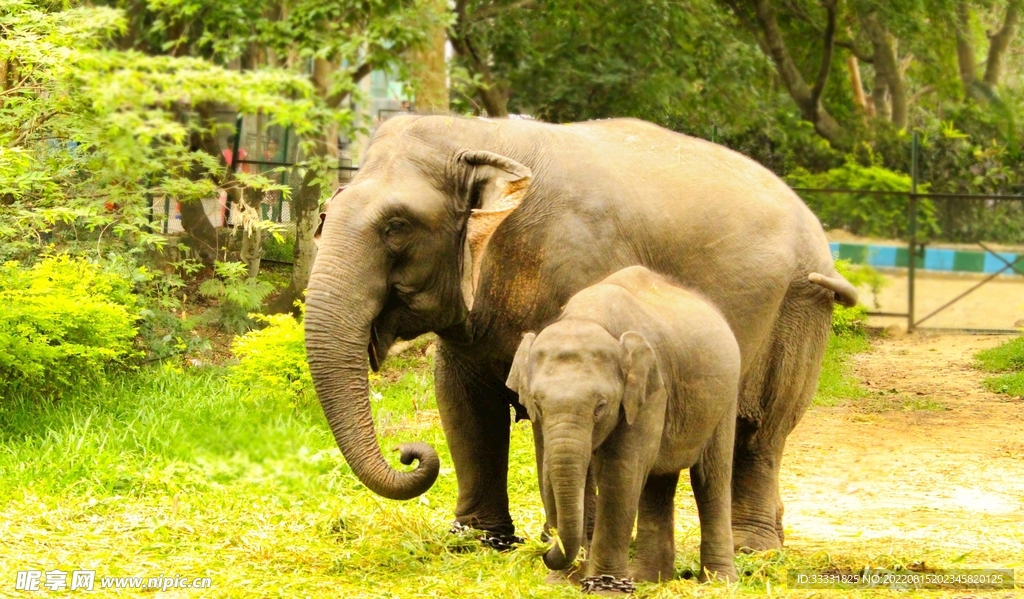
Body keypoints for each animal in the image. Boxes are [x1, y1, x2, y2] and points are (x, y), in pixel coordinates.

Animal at [304, 114, 857, 551]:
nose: (410, 452)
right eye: (324, 216)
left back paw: (752, 548)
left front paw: (566, 545)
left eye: (396, 226)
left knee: (764, 428)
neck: (480, 136)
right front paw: (478, 541)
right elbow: (462, 402)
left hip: (800, 305)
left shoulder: (579, 268)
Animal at [506, 266, 740, 586]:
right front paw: (561, 583)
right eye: (537, 404)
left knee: (710, 477)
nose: (541, 549)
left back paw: (718, 582)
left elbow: (621, 472)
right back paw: (648, 580)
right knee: (658, 480)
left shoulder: (650, 390)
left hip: (726, 398)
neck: (588, 317)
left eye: (600, 407)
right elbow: (548, 470)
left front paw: (603, 586)